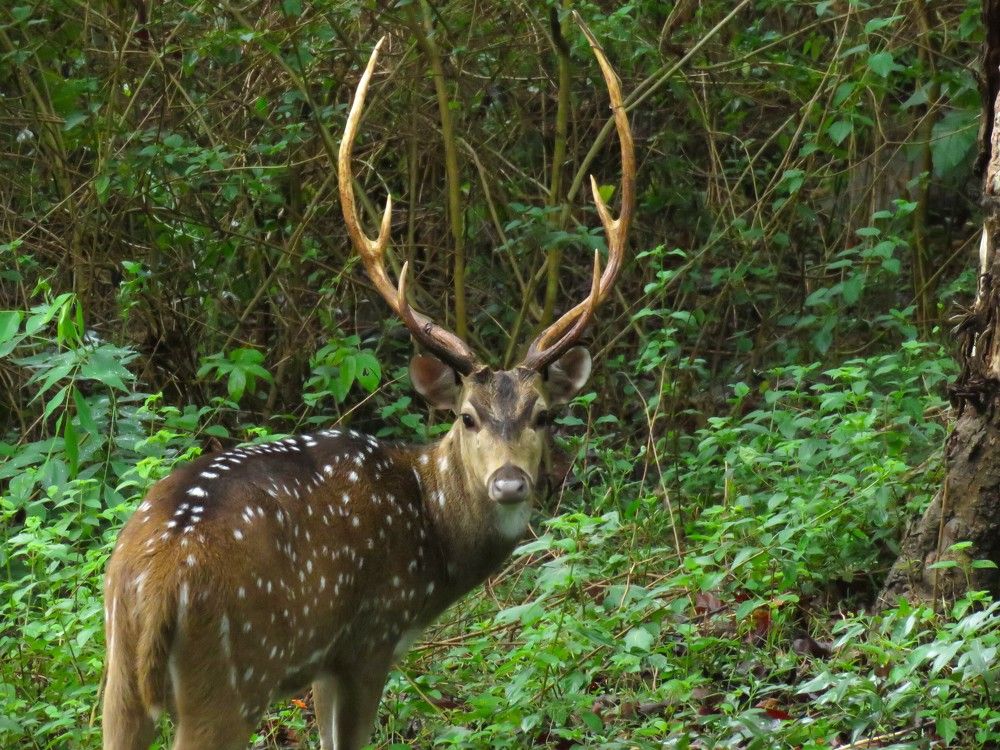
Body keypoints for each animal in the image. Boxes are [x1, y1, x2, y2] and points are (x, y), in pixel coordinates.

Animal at [102, 23, 634, 750]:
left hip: (118, 678)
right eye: (467, 416)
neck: (432, 543)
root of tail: (150, 583)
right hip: (231, 675)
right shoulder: (368, 639)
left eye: (543, 414)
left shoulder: (331, 662)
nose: (509, 482)